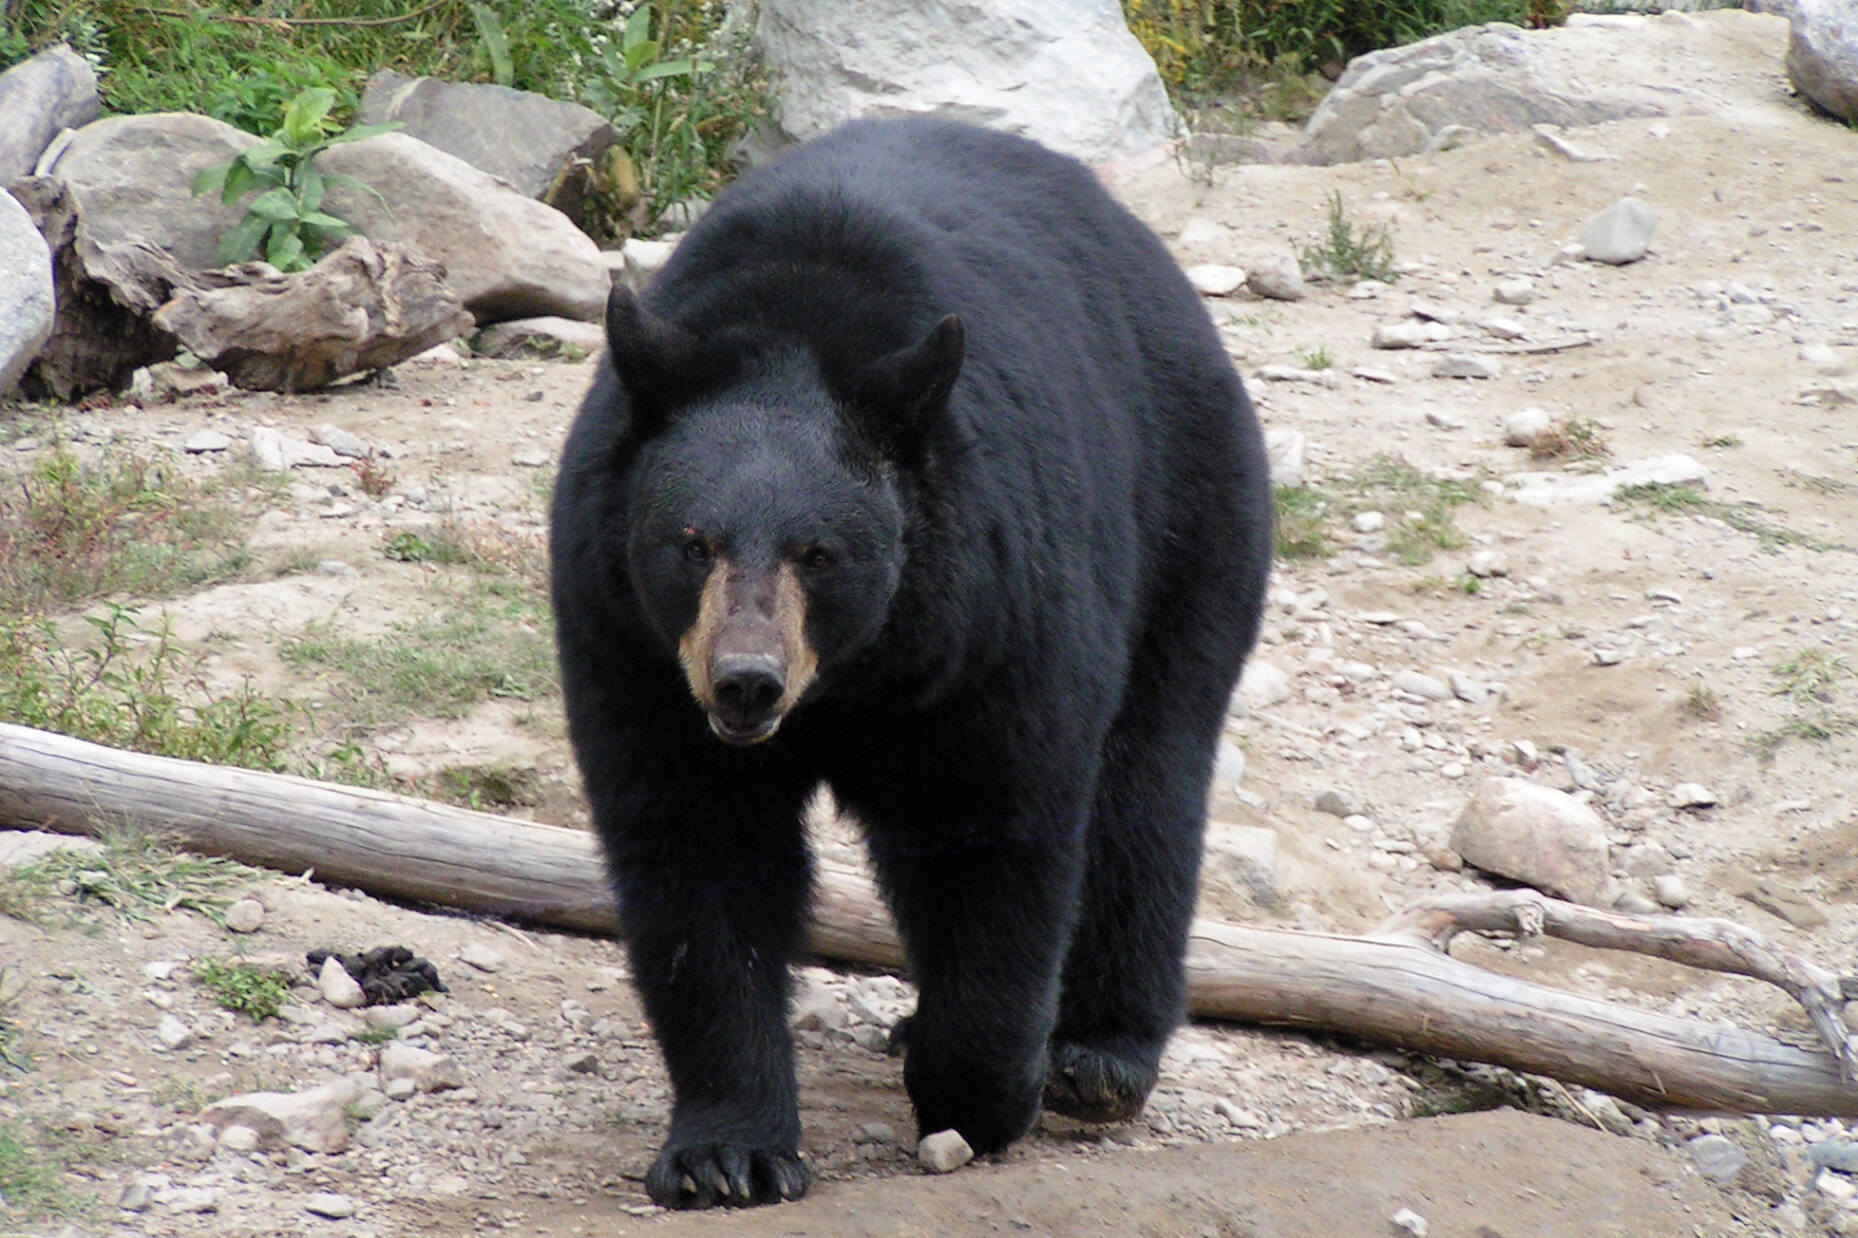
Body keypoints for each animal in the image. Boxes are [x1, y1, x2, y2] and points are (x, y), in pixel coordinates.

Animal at [549, 116, 1273, 1210]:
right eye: (691, 542)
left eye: (818, 552)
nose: (746, 680)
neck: (854, 675)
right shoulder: (630, 645)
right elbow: (696, 853)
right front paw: (727, 1151)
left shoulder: (993, 623)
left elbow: (997, 833)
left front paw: (982, 1091)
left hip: (1190, 514)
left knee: (1148, 781)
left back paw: (1099, 1052)